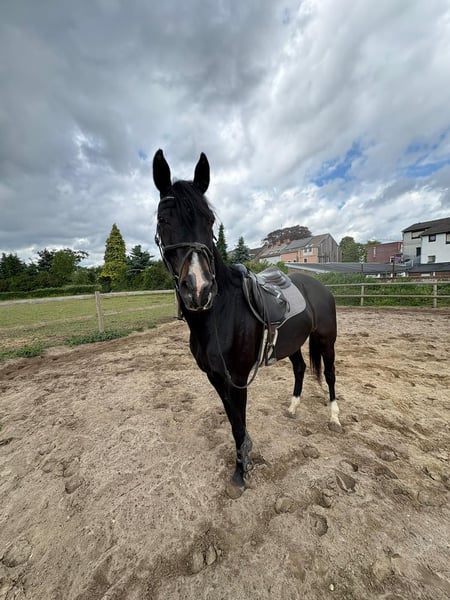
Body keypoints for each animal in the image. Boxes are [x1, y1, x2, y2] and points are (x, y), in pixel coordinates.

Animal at [153, 149, 341, 491]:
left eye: (210, 220)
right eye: (163, 219)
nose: (198, 288)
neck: (219, 314)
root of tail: (319, 285)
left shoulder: (237, 379)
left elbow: (238, 424)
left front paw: (241, 471)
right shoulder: (216, 378)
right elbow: (233, 421)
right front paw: (244, 459)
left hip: (326, 339)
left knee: (331, 374)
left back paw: (334, 417)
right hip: (293, 343)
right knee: (300, 368)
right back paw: (292, 407)